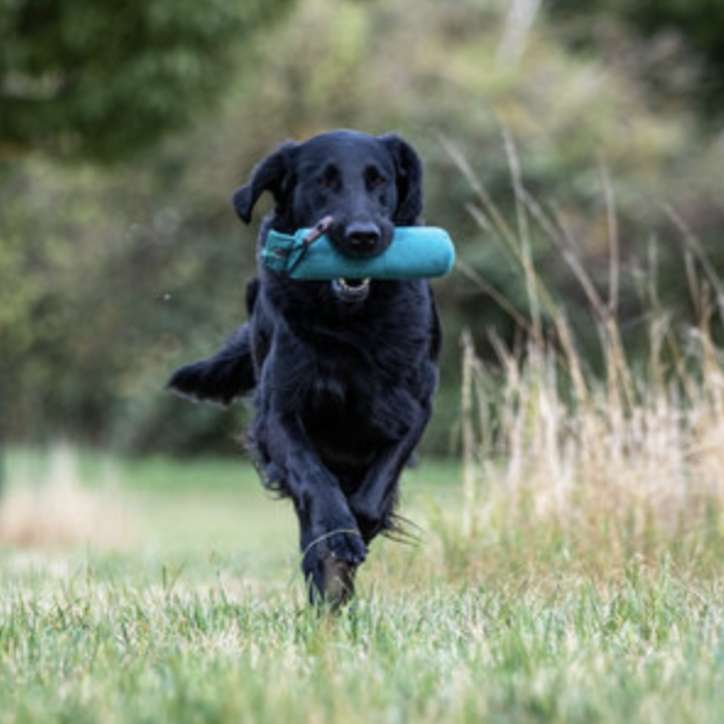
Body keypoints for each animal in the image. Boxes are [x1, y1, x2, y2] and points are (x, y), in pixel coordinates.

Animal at [168, 130, 442, 604]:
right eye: (324, 181)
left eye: (379, 180)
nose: (362, 236)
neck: (350, 323)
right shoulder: (278, 413)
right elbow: (314, 480)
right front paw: (336, 534)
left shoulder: (415, 405)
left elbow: (374, 491)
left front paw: (358, 528)